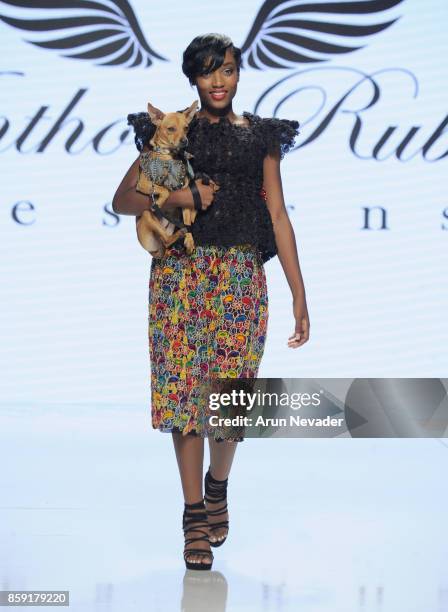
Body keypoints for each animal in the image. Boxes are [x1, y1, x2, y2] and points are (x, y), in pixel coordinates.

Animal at [133, 100, 217, 256]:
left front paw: (190, 241)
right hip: (146, 214)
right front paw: (160, 202)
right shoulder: (143, 184)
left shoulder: (187, 197)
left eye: (186, 128)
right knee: (167, 239)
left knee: (179, 230)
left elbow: (188, 221)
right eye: (171, 129)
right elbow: (165, 190)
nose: (185, 141)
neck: (169, 157)